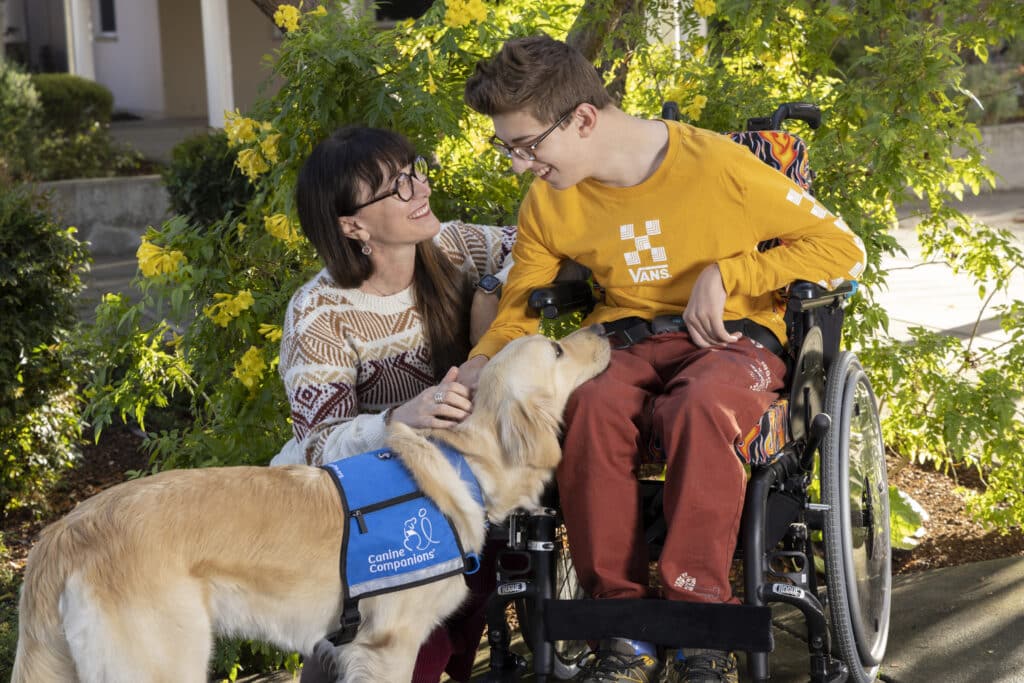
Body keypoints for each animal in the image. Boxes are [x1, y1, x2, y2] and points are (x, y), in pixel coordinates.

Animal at [14, 327, 606, 679]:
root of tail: (60, 533)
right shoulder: (388, 646)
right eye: (556, 349)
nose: (600, 328)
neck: (463, 465)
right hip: (165, 662)